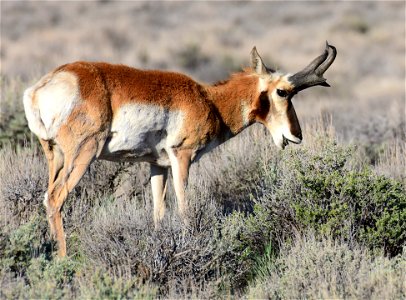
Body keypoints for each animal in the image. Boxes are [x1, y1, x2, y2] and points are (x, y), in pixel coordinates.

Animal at [23, 42, 338, 256]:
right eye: (282, 91)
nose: (296, 135)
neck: (209, 99)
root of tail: (42, 87)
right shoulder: (181, 158)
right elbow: (185, 209)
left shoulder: (157, 166)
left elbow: (159, 212)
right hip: (83, 154)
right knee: (55, 198)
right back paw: (63, 259)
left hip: (55, 158)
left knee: (48, 195)